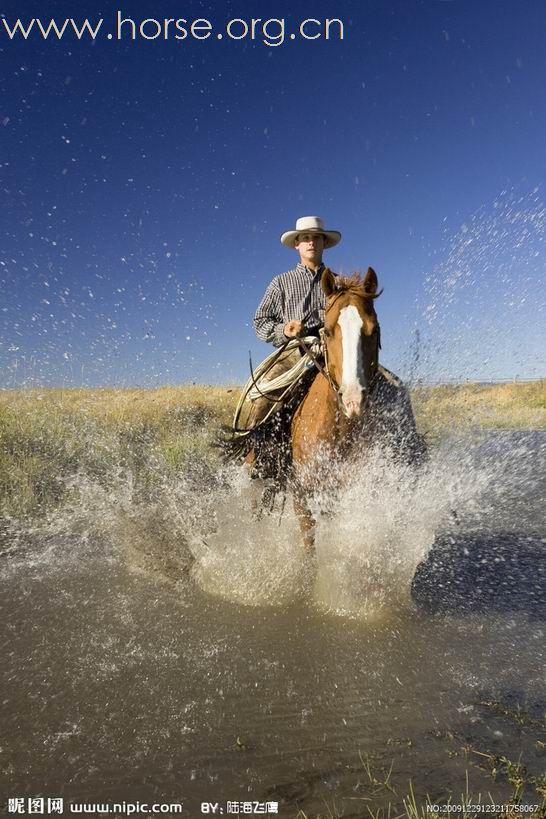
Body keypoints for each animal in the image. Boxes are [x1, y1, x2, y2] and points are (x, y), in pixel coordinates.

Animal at [288, 266, 424, 556]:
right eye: (327, 331)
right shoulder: (302, 498)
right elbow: (309, 550)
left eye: (375, 330)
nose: (353, 400)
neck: (339, 434)